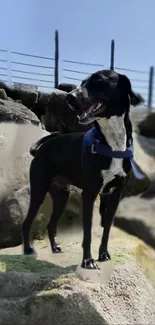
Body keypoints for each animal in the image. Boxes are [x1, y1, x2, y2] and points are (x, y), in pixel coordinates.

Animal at [22, 70, 143, 268]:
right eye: (82, 81)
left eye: (99, 79)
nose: (70, 98)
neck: (113, 143)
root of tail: (40, 149)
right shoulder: (90, 194)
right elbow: (87, 233)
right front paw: (87, 261)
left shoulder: (114, 195)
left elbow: (106, 229)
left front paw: (103, 254)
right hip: (39, 190)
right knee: (27, 222)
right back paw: (27, 250)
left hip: (61, 196)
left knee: (51, 224)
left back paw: (55, 248)